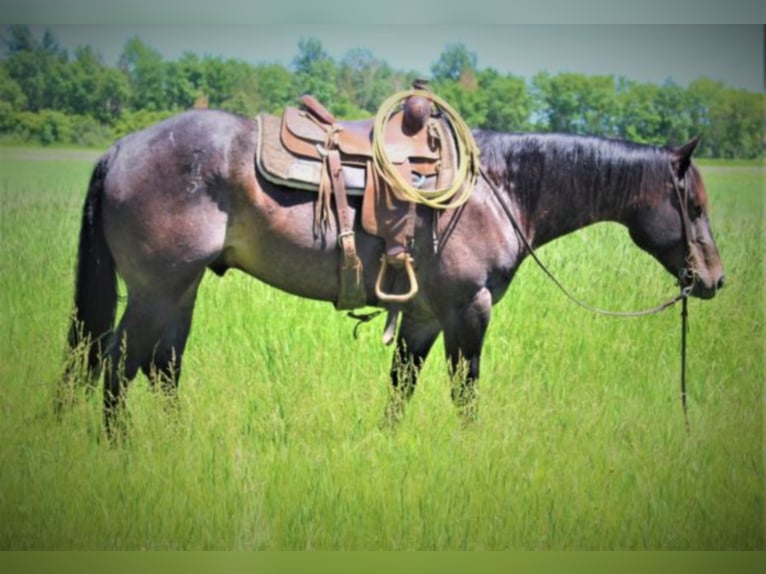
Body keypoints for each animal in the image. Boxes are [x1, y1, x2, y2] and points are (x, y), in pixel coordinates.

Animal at [64, 108, 728, 432]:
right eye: (694, 205)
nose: (714, 279)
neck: (498, 189)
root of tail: (120, 149)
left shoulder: (424, 317)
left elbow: (400, 386)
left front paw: (387, 447)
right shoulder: (468, 310)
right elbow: (465, 390)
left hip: (181, 291)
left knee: (162, 367)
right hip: (155, 293)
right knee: (119, 366)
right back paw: (122, 447)